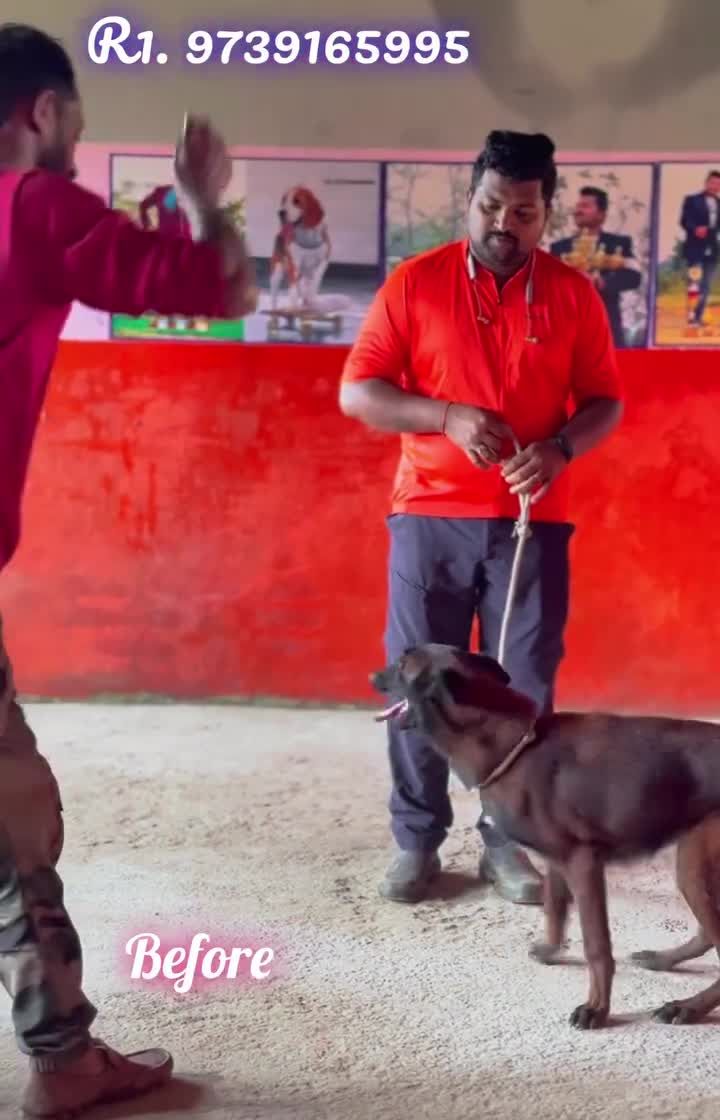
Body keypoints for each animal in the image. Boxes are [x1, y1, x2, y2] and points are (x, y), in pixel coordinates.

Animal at [371, 643, 720, 1030]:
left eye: (403, 665)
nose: (372, 676)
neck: (514, 744)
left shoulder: (583, 863)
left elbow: (597, 945)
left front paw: (597, 1008)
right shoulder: (558, 860)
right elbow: (554, 907)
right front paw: (552, 951)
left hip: (694, 868)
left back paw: (687, 1007)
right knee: (707, 933)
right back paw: (664, 961)